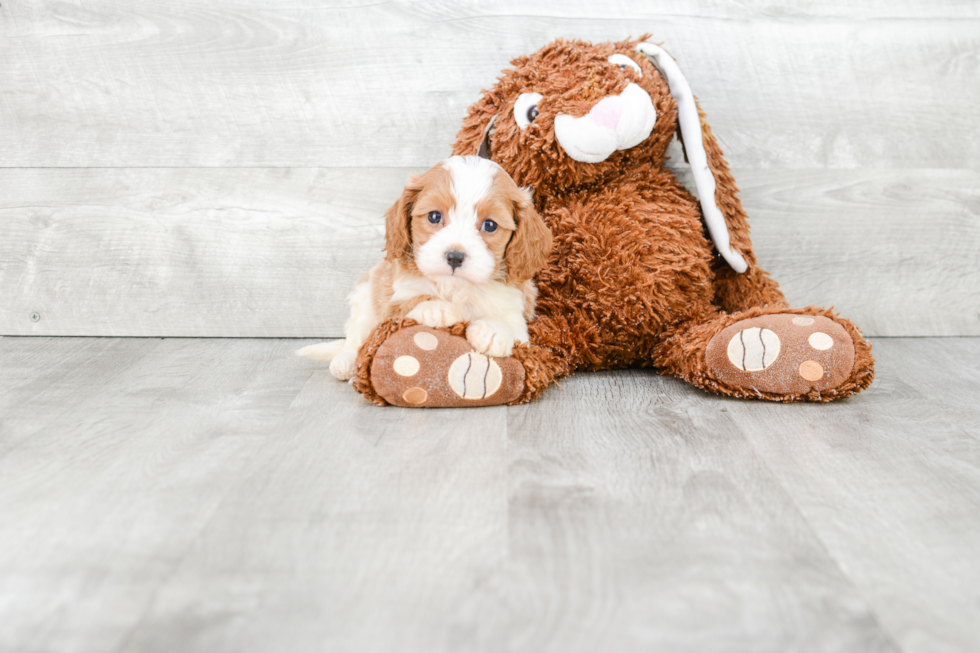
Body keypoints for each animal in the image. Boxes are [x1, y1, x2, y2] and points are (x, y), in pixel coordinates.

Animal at [294, 153, 556, 380]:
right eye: (434, 217)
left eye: (490, 225)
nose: (455, 256)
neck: (456, 287)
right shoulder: (392, 304)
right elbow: (410, 302)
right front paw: (436, 307)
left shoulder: (516, 311)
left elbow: (509, 323)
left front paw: (493, 331)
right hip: (366, 294)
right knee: (357, 336)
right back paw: (345, 361)